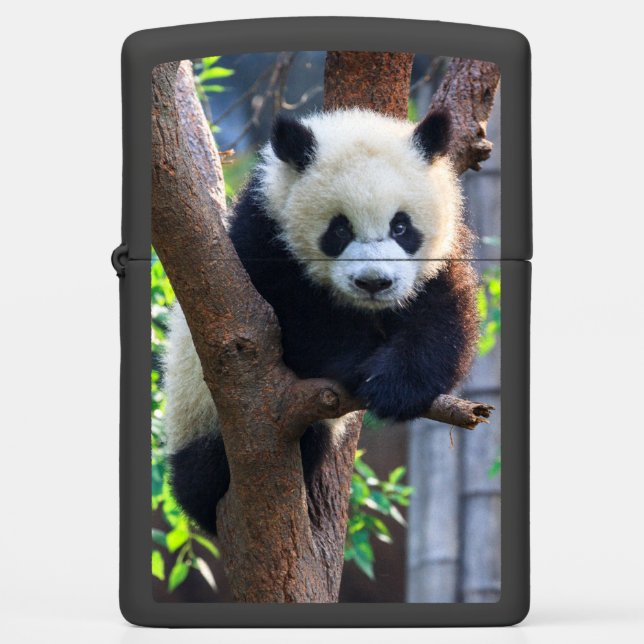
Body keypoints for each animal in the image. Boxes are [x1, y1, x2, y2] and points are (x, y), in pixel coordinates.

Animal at [163, 108, 480, 535]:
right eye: (339, 229)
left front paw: (396, 387)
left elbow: (442, 317)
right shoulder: (261, 241)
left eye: (401, 226)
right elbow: (295, 323)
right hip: (197, 413)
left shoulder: (440, 257)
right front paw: (359, 366)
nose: (374, 282)